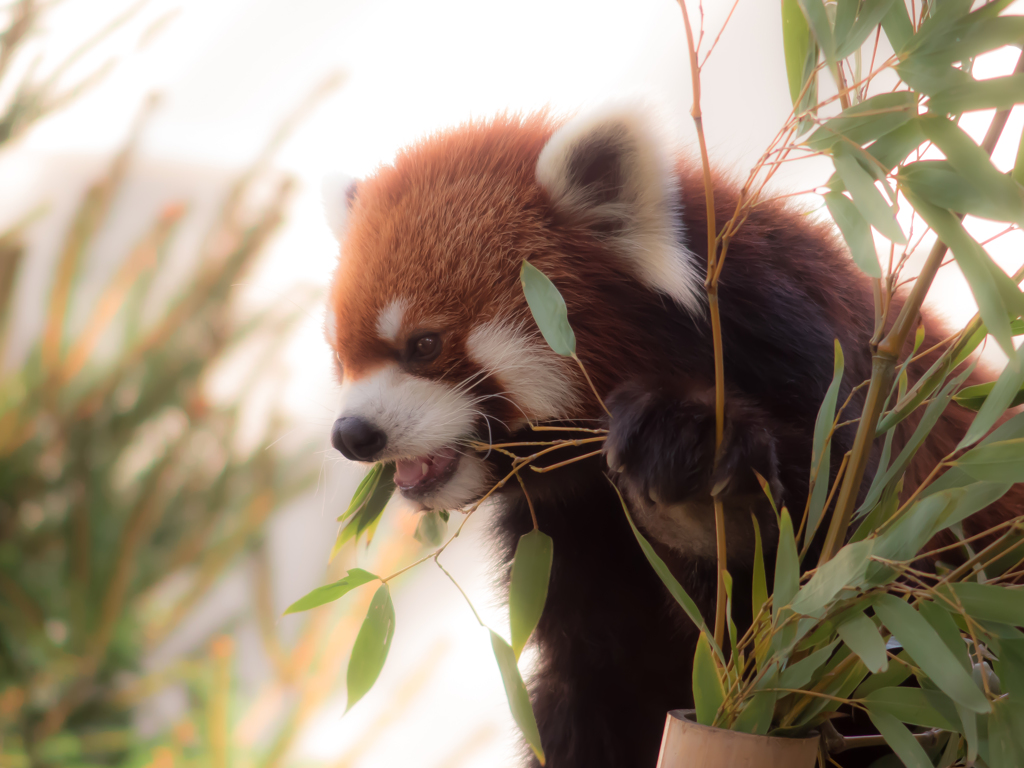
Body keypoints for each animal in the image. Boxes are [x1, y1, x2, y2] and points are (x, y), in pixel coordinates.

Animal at [323, 107, 1019, 768]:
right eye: (341, 358)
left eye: (424, 344)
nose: (351, 435)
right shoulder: (566, 545)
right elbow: (592, 696)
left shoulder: (842, 399)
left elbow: (833, 579)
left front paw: (710, 500)